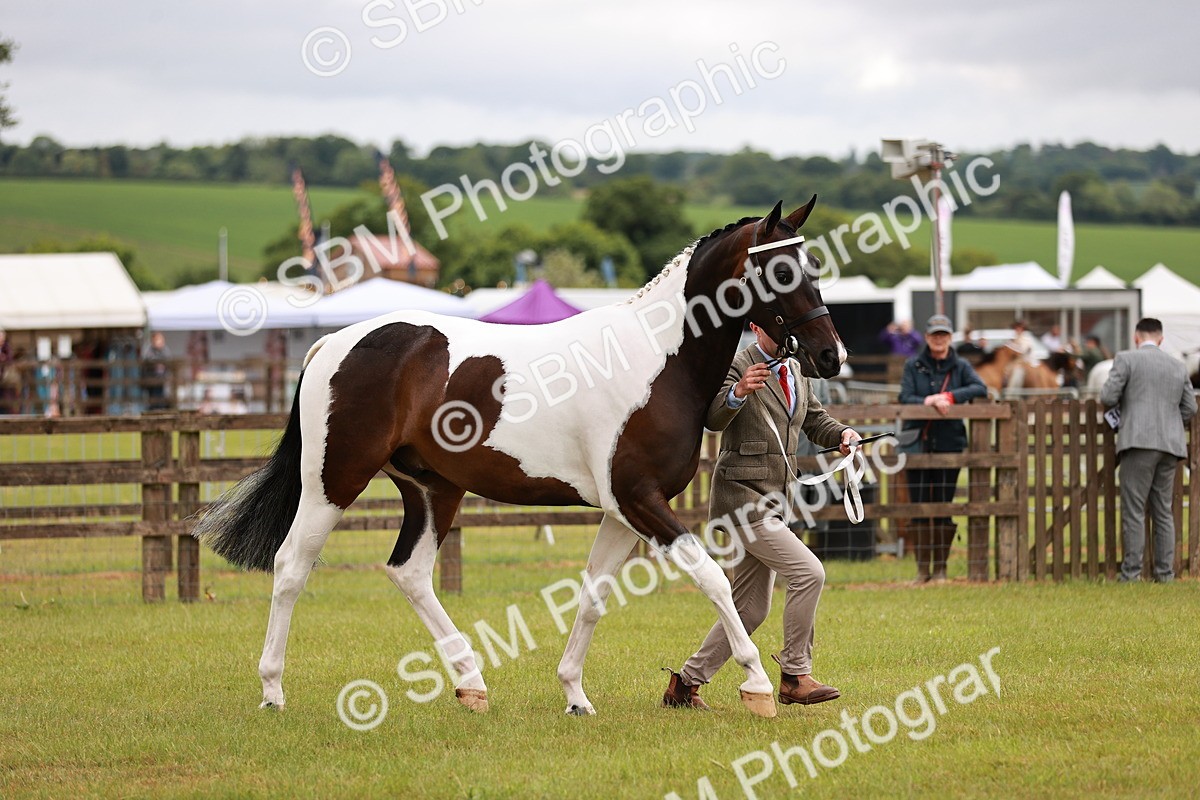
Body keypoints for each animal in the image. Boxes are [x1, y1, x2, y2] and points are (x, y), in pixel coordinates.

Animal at [194, 198, 846, 720]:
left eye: (813, 267)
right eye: (782, 268)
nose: (830, 355)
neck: (658, 361)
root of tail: (335, 340)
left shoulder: (623, 510)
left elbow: (593, 596)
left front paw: (575, 694)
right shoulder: (640, 500)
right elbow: (711, 578)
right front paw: (757, 685)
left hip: (433, 489)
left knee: (410, 572)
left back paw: (471, 684)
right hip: (334, 480)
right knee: (291, 567)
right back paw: (273, 692)